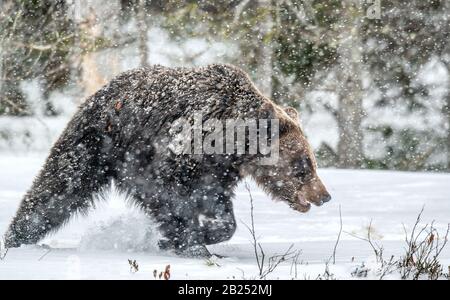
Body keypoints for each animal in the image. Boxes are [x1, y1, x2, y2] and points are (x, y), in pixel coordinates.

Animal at [3, 64, 330, 256]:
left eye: (312, 161)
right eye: (304, 165)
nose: (324, 195)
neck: (230, 142)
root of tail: (99, 91)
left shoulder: (218, 171)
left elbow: (221, 210)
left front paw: (200, 236)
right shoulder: (171, 156)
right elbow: (169, 197)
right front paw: (187, 241)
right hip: (95, 143)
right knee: (59, 187)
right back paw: (15, 238)